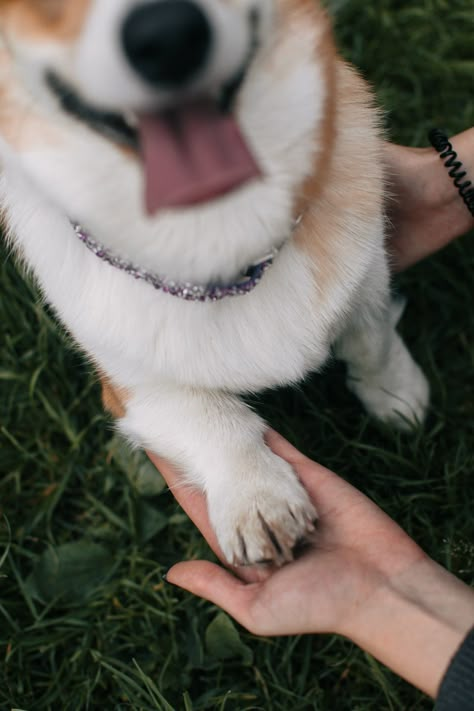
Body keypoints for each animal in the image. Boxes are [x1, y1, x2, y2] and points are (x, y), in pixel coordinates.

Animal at [0, 0, 430, 568]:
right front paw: (259, 501)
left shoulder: (367, 275)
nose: (168, 35)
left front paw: (398, 399)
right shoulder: (132, 386)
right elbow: (213, 419)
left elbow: (373, 341)